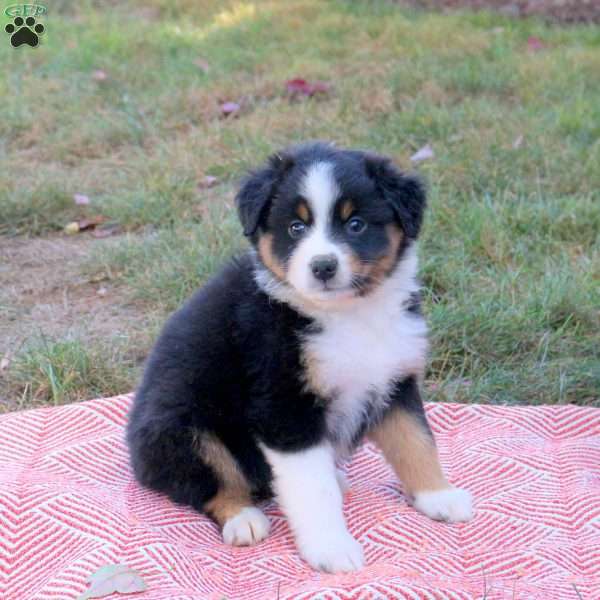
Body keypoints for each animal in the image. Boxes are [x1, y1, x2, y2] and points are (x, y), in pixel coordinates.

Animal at [126, 141, 474, 572]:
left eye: (355, 224)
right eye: (296, 227)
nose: (322, 266)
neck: (348, 314)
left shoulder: (395, 379)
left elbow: (417, 442)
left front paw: (438, 496)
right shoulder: (284, 405)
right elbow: (312, 488)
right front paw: (331, 548)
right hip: (182, 428)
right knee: (211, 482)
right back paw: (244, 518)